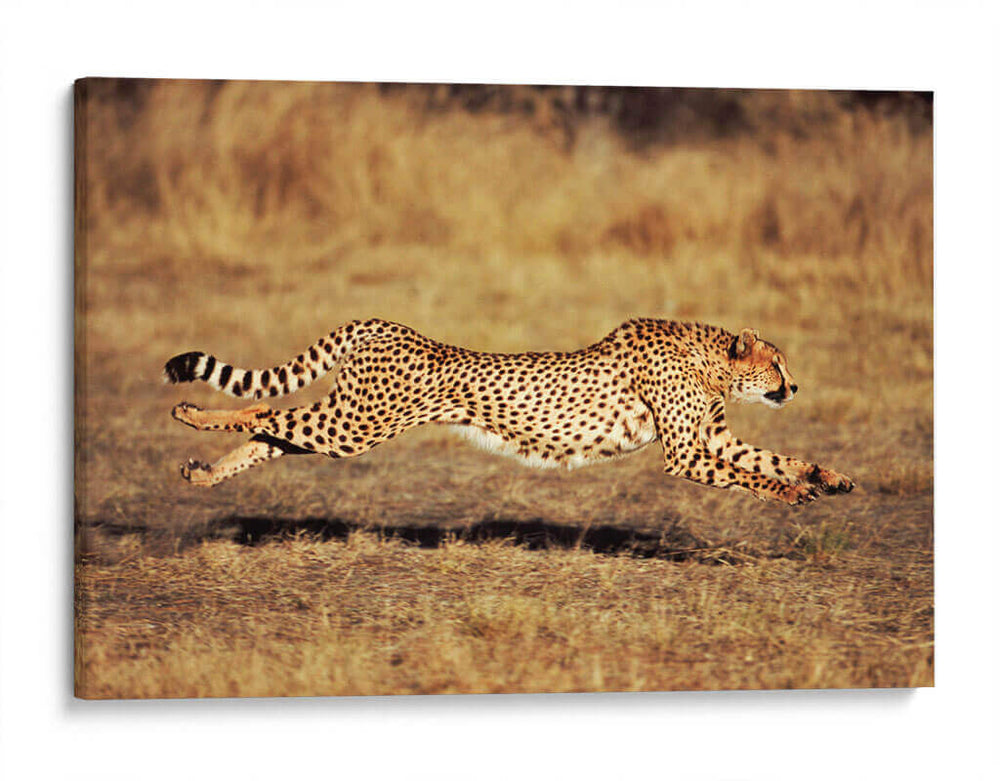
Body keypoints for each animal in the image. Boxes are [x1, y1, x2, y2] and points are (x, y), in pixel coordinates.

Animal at [164, 318, 854, 505]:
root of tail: (383, 324)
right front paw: (792, 494)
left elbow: (771, 458)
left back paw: (201, 472)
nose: (795, 388)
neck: (709, 359)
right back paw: (191, 414)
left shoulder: (712, 438)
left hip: (348, 422)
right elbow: (750, 474)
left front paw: (828, 477)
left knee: (271, 433)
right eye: (776, 365)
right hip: (358, 425)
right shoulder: (686, 454)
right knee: (261, 411)